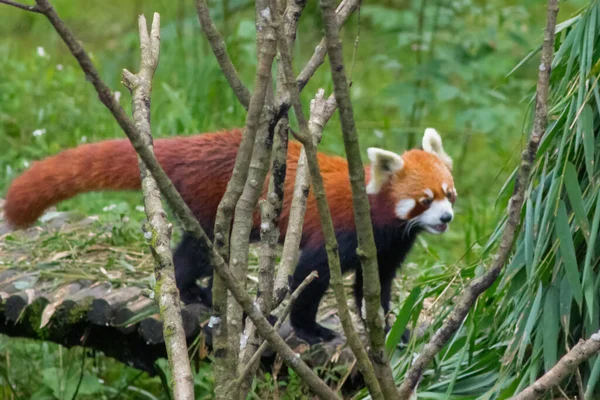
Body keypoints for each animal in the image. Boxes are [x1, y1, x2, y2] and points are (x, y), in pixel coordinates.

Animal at [3, 126, 454, 342]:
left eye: (449, 193)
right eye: (424, 199)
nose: (447, 218)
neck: (378, 220)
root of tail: (192, 146)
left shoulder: (387, 247)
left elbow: (375, 288)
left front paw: (391, 328)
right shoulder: (337, 233)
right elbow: (309, 278)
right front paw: (310, 330)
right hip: (220, 207)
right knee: (196, 254)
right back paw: (188, 290)